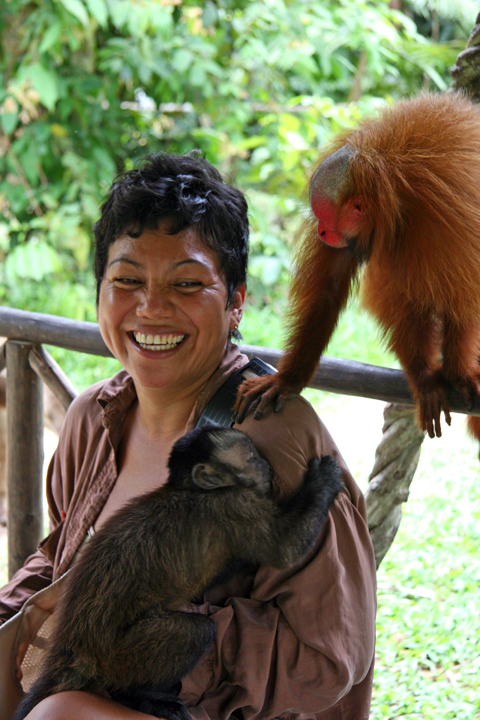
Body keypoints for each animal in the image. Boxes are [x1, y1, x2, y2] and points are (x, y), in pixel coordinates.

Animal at [13, 424, 344, 720]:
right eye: (250, 457)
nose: (266, 465)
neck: (190, 489)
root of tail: (71, 646)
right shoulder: (235, 504)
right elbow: (287, 548)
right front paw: (323, 481)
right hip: (116, 654)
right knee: (198, 632)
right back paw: (137, 697)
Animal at [237, 94, 480, 444]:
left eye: (326, 218)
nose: (322, 232)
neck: (395, 199)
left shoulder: (445, 228)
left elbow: (463, 300)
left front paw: (457, 373)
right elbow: (331, 291)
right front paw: (288, 380)